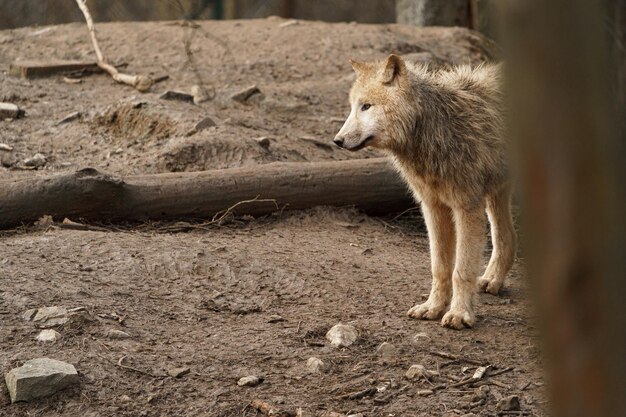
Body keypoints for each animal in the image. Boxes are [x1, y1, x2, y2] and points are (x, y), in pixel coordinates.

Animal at [334, 54, 516, 328]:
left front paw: (459, 314)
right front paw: (432, 308)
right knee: (505, 237)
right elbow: (439, 268)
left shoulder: (467, 207)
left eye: (366, 106)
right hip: (497, 193)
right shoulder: (433, 207)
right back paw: (492, 280)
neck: (436, 128)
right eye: (353, 107)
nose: (337, 140)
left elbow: (461, 270)